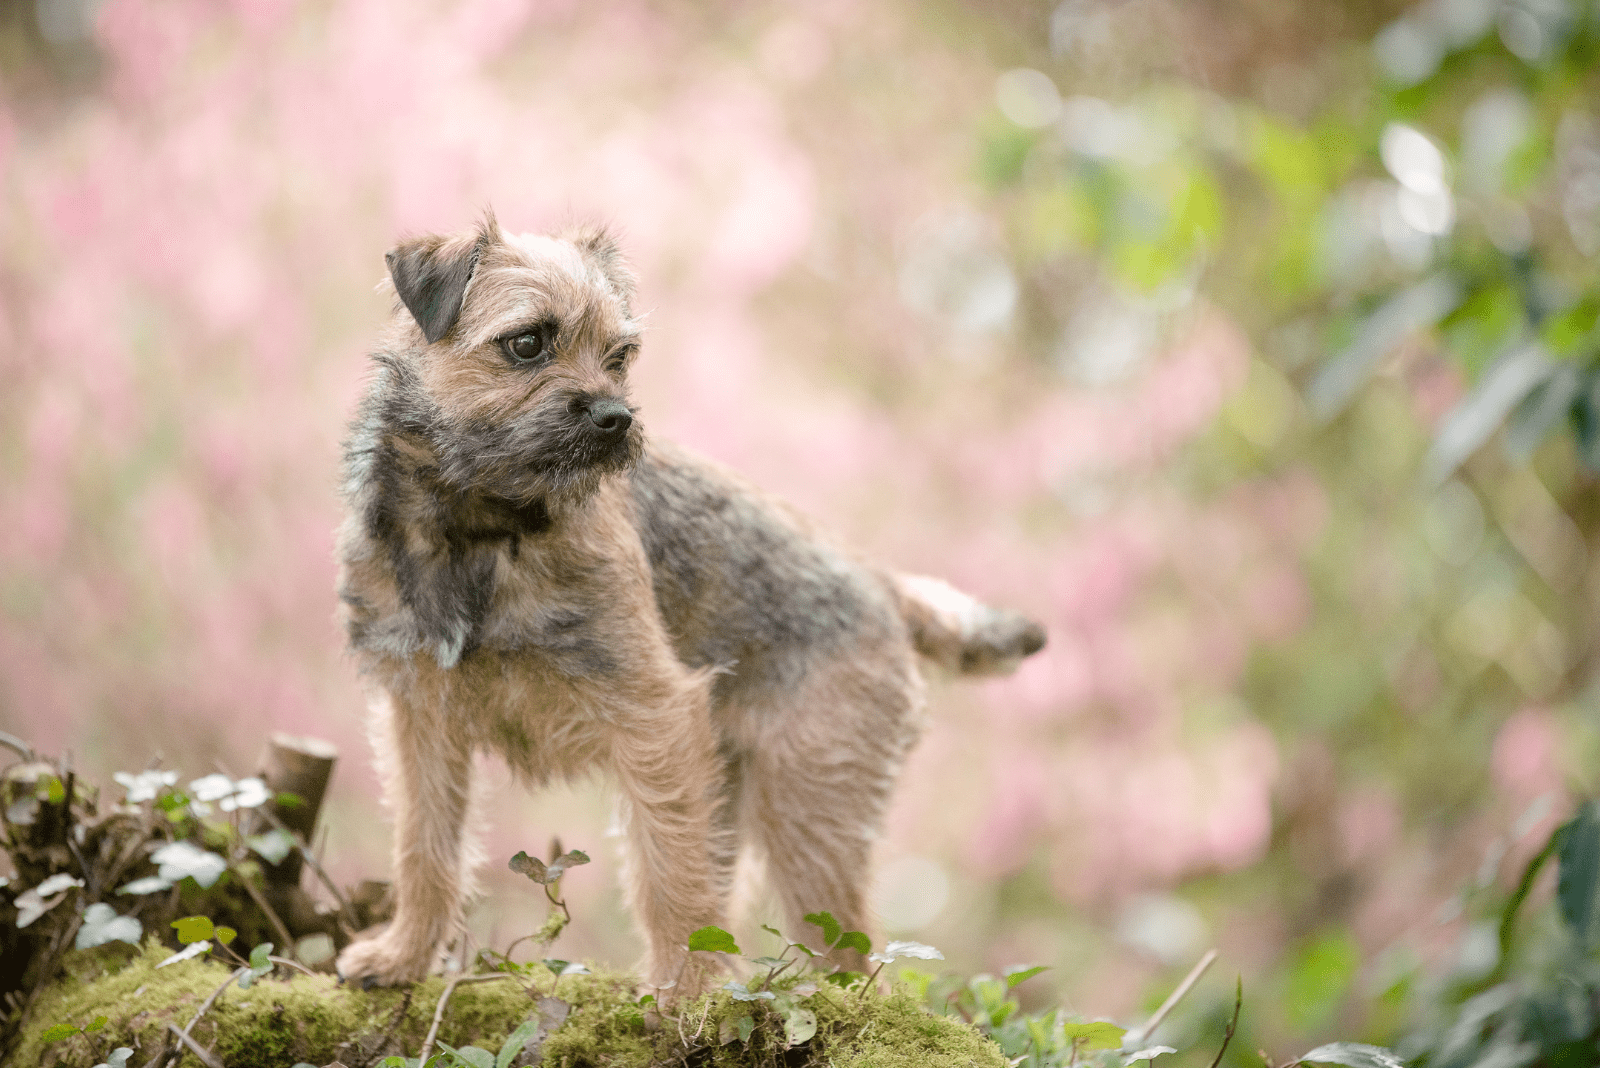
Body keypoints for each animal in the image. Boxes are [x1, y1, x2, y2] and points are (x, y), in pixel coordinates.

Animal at [331, 212, 1043, 997]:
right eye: (527, 343)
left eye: (620, 355)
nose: (615, 417)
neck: (480, 527)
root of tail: (880, 581)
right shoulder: (420, 719)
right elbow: (424, 847)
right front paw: (403, 957)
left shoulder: (656, 719)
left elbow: (668, 876)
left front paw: (686, 995)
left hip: (809, 812)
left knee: (851, 961)